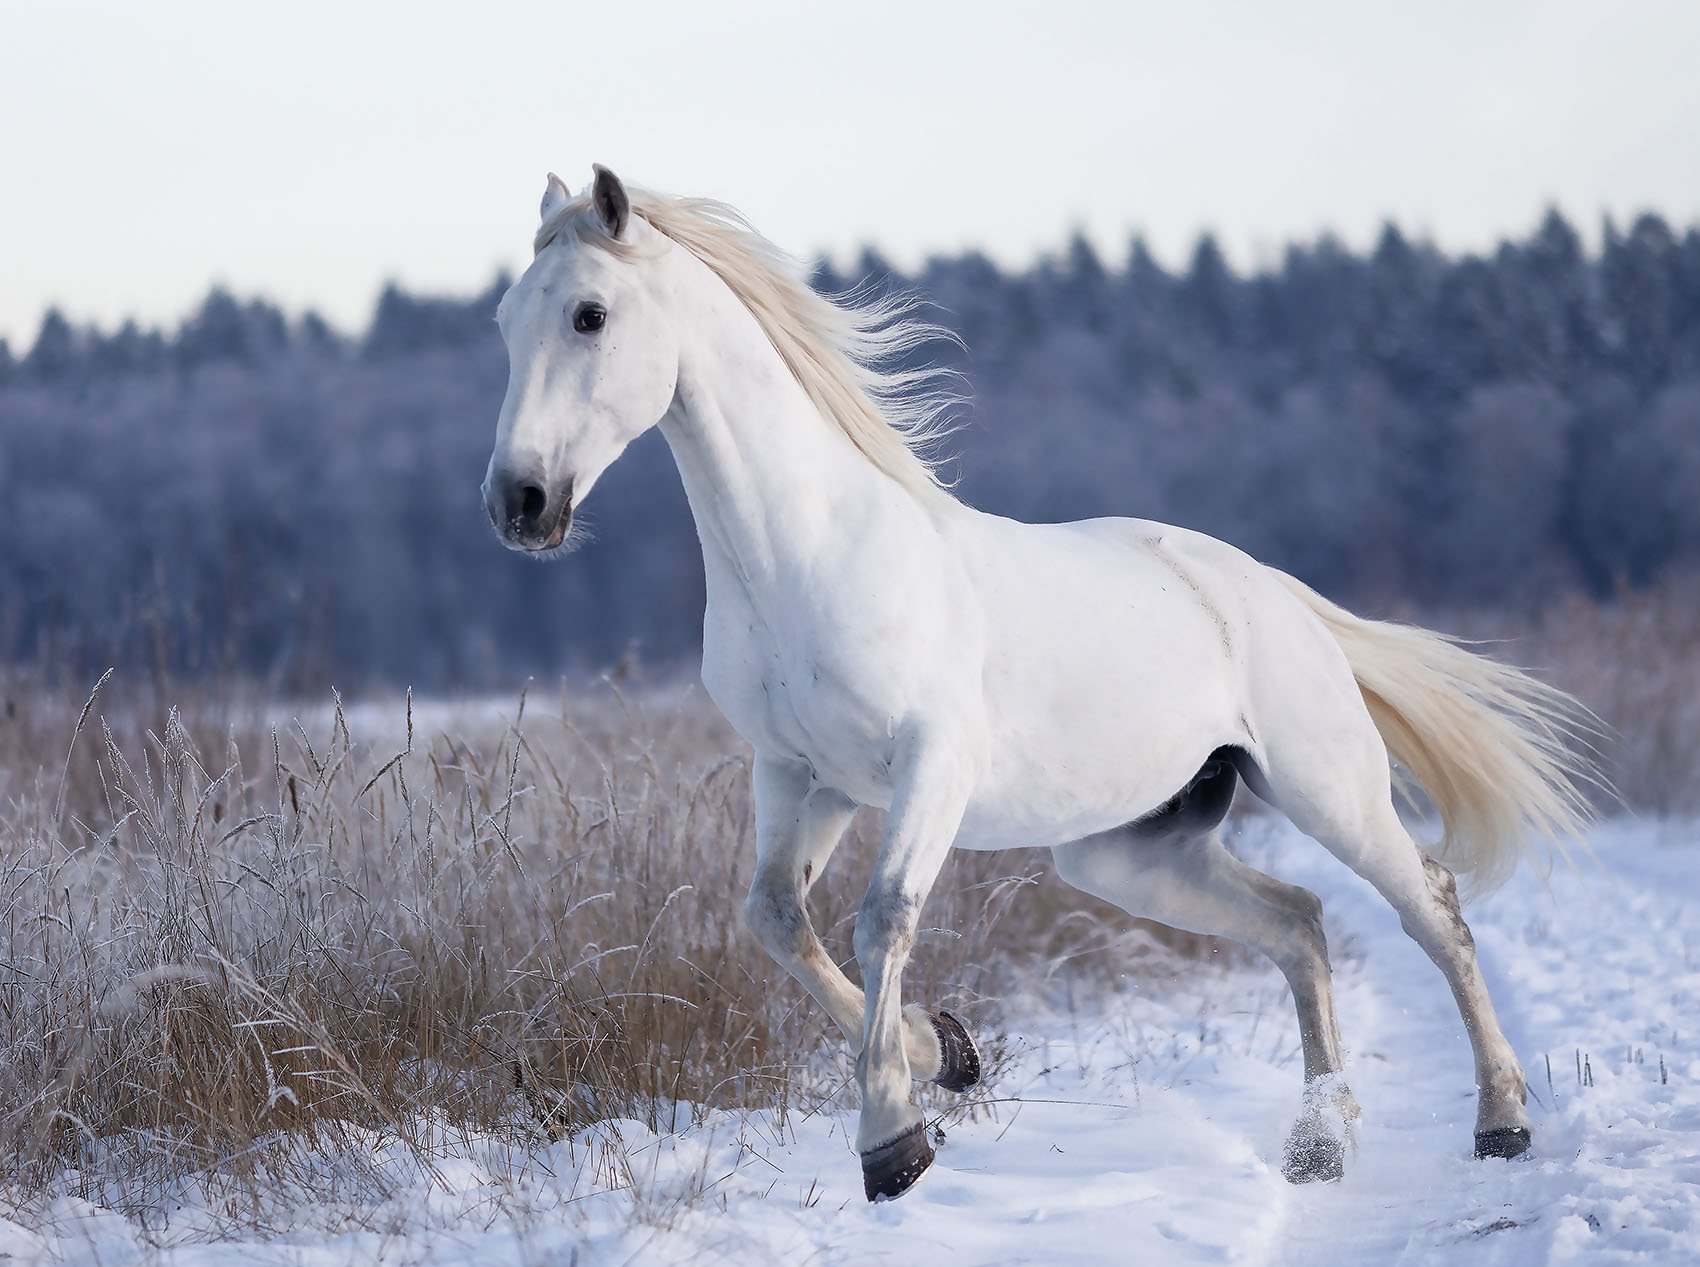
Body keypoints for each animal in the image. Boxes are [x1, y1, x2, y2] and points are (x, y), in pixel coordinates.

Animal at [479, 165, 1591, 1197]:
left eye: (589, 313)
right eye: (503, 322)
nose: (518, 503)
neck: (808, 555)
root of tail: (1274, 592)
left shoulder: (931, 764)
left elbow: (881, 916)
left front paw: (893, 1142)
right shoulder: (802, 775)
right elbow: (774, 917)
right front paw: (946, 1052)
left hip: (1328, 789)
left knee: (1432, 910)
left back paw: (1500, 1124)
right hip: (1127, 849)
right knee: (1298, 923)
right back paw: (1317, 1147)